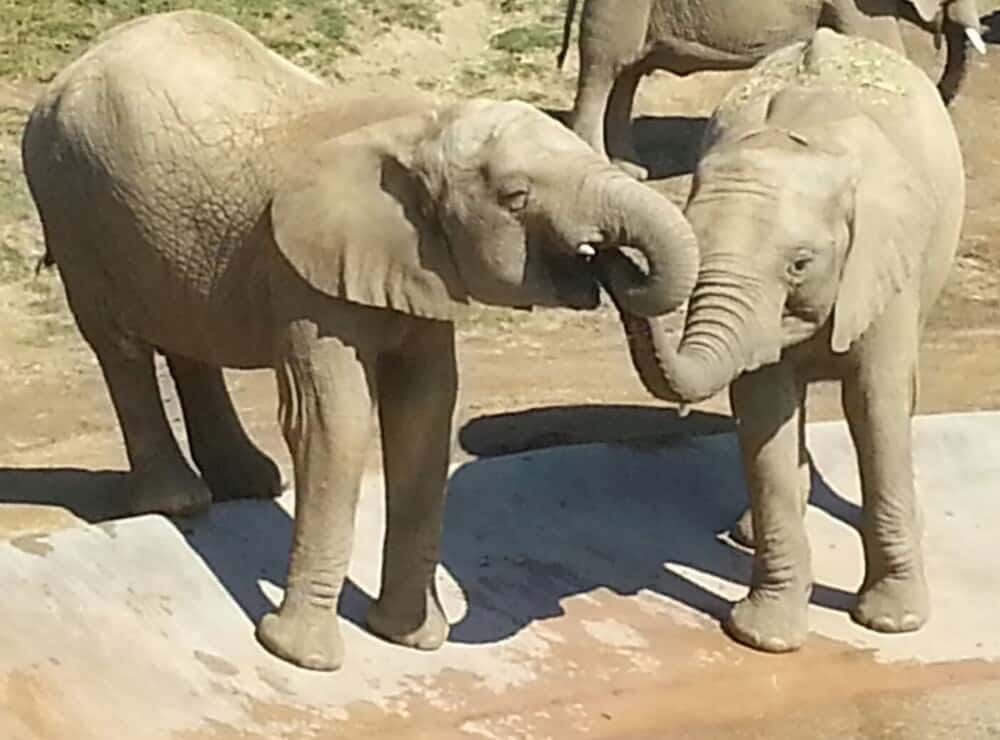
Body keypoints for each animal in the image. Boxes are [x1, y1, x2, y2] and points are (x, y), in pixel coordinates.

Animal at [21, 10, 696, 672]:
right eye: (515, 197)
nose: (607, 259)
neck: (422, 131)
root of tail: (64, 75)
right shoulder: (303, 274)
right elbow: (332, 419)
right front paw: (299, 655)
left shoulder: (418, 266)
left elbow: (424, 412)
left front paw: (411, 638)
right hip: (68, 203)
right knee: (119, 344)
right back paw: (180, 502)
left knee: (185, 331)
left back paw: (249, 483)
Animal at [596, 28, 964, 652]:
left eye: (800, 264)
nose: (608, 251)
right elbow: (764, 408)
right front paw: (765, 638)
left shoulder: (886, 259)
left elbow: (875, 403)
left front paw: (893, 623)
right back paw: (747, 531)